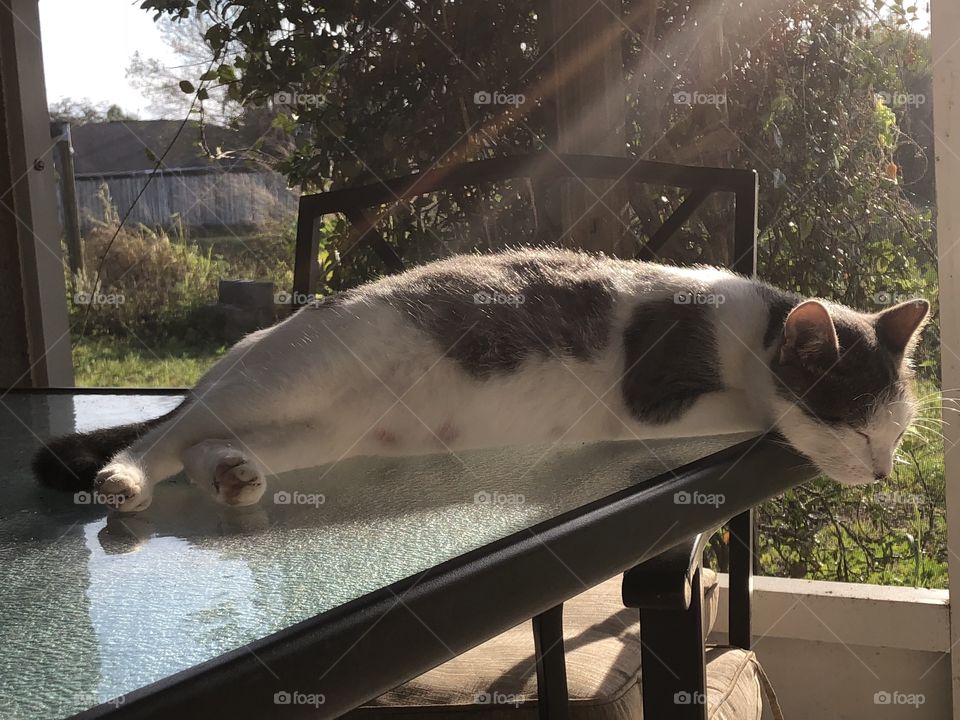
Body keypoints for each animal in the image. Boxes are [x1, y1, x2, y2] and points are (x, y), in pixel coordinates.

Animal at [33, 248, 928, 512]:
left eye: (895, 433)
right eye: (856, 424)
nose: (883, 472)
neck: (754, 330)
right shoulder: (657, 398)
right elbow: (753, 409)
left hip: (317, 434)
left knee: (204, 447)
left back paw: (229, 475)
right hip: (286, 377)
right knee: (167, 429)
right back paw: (121, 479)